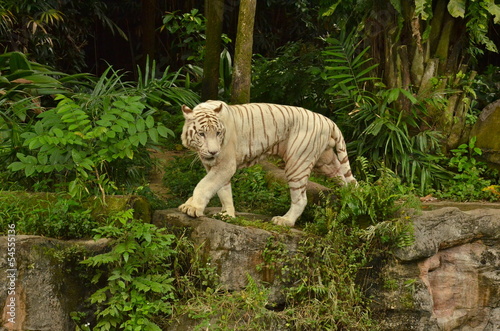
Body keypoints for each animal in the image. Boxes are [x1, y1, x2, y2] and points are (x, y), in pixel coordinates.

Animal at [179, 100, 356, 227]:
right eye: (201, 134)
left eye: (218, 133)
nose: (213, 152)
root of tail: (327, 120)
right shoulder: (214, 166)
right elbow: (223, 191)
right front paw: (227, 214)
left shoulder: (225, 164)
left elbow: (205, 185)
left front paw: (193, 208)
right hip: (326, 162)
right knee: (346, 180)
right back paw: (348, 202)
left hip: (297, 162)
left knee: (301, 198)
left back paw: (285, 221)